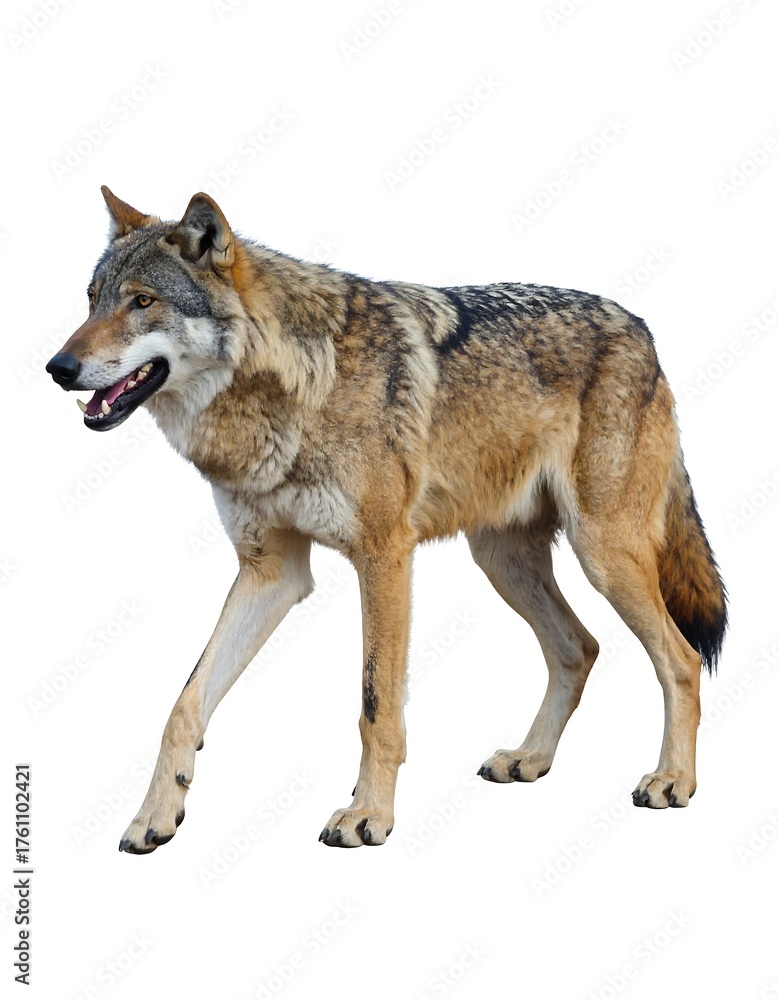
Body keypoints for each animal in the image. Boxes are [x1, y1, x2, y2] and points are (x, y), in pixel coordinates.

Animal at [46, 188, 727, 851]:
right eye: (92, 299)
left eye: (143, 302)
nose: (57, 367)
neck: (297, 386)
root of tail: (642, 330)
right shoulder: (271, 572)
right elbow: (183, 704)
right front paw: (154, 815)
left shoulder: (385, 556)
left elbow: (376, 707)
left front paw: (368, 815)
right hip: (502, 562)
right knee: (578, 648)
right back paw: (530, 758)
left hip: (603, 554)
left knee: (681, 659)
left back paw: (672, 780)